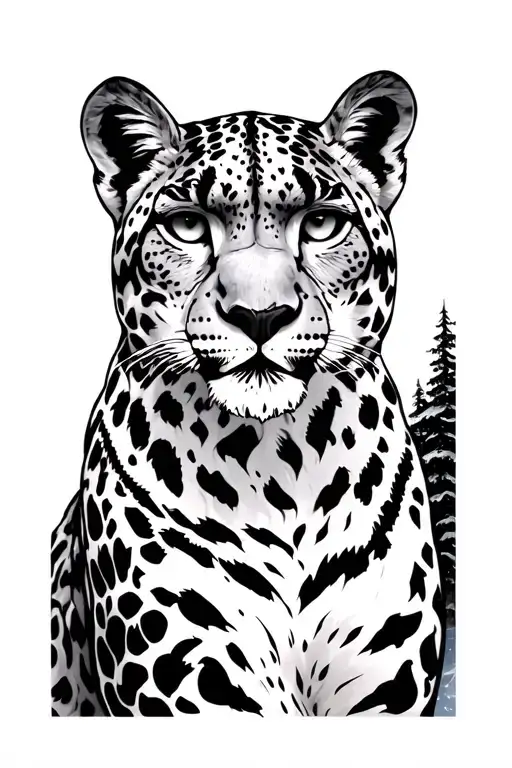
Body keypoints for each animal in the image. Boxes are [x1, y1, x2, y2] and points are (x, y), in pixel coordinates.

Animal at [51, 70, 445, 717]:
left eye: (321, 224)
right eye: (187, 226)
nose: (261, 315)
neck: (281, 467)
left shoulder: (387, 690)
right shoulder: (189, 686)